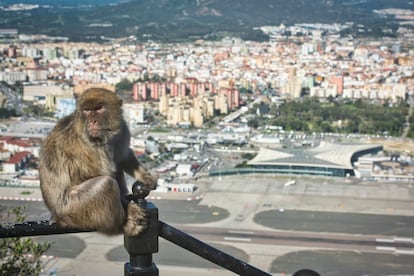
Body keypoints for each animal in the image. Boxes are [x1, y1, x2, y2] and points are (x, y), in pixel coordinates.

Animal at [39, 88, 157, 235]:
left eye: (99, 108)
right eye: (87, 110)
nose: (92, 122)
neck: (105, 136)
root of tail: (55, 217)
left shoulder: (123, 130)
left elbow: (123, 156)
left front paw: (146, 177)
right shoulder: (85, 146)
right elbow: (88, 176)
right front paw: (131, 209)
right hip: (72, 210)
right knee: (106, 184)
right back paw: (124, 226)